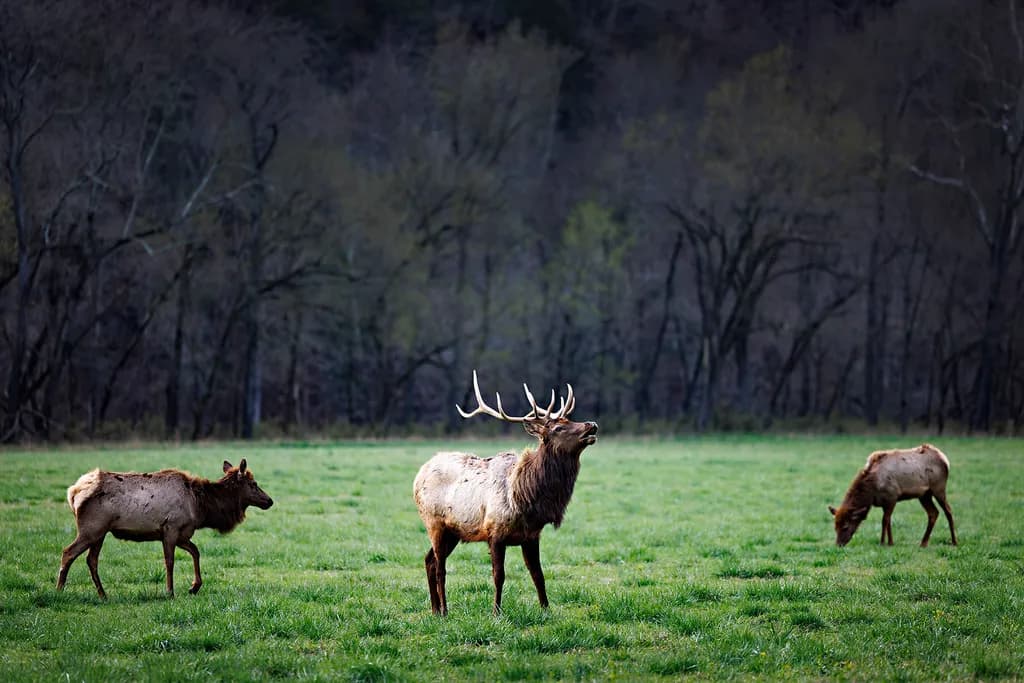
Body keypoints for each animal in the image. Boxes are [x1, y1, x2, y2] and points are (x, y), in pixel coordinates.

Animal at [57, 459, 273, 598]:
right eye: (253, 483)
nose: (269, 501)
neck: (200, 508)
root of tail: (73, 492)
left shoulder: (182, 533)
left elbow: (196, 551)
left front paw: (194, 587)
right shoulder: (171, 528)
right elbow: (170, 562)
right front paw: (170, 592)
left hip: (100, 532)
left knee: (91, 560)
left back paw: (103, 594)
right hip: (91, 528)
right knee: (68, 552)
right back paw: (59, 590)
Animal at [413, 371, 598, 615]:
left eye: (569, 420)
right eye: (558, 428)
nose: (592, 425)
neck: (524, 496)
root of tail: (419, 474)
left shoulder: (531, 536)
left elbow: (538, 575)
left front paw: (546, 610)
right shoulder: (495, 533)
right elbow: (498, 576)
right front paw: (496, 612)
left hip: (454, 531)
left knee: (429, 560)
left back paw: (434, 610)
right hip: (434, 523)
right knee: (440, 567)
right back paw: (444, 610)